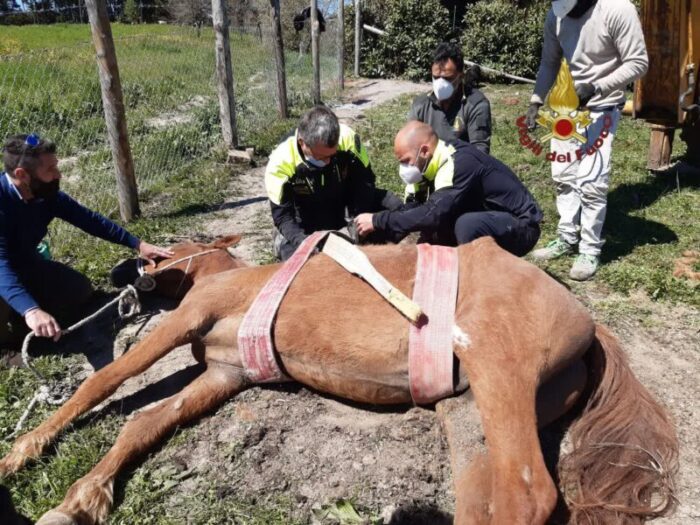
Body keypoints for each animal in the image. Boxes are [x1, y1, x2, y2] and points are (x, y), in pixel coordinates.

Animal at [0, 237, 680, 524]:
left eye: (157, 251)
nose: (120, 273)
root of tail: (589, 322)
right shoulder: (224, 374)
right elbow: (144, 423)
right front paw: (80, 499)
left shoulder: (184, 322)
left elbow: (102, 383)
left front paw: (21, 453)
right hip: (466, 411)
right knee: (484, 498)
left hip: (498, 369)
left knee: (527, 494)